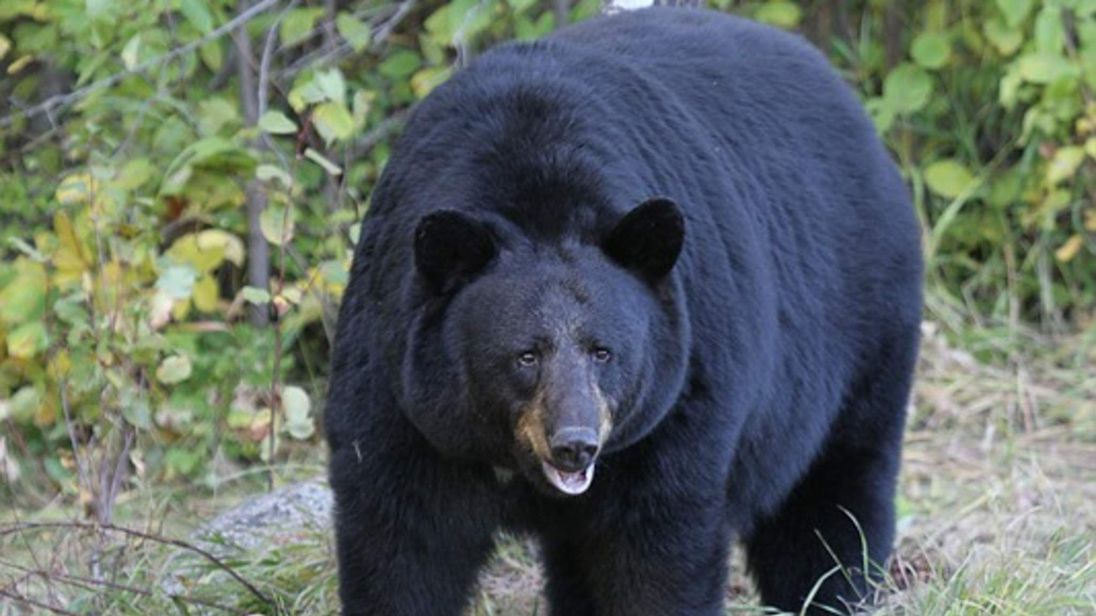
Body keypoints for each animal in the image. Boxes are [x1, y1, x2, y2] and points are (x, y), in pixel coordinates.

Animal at [326, 5, 925, 613]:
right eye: (525, 355)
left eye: (603, 352)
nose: (575, 445)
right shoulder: (400, 395)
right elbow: (401, 544)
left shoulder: (680, 400)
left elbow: (658, 552)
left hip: (861, 333)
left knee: (831, 504)